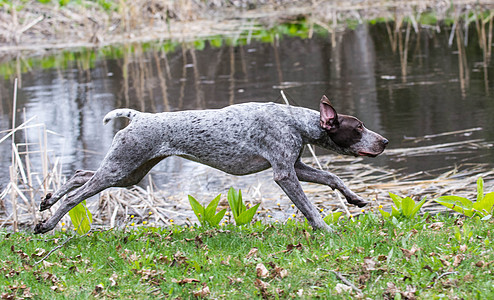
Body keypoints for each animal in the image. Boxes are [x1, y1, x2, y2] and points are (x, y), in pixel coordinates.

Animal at [35, 95, 390, 233]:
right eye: (359, 127)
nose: (384, 141)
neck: (294, 121)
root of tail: (139, 116)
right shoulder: (285, 174)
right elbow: (309, 209)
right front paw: (325, 229)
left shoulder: (297, 167)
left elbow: (332, 178)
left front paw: (355, 199)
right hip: (120, 168)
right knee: (76, 195)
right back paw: (46, 223)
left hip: (128, 173)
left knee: (79, 174)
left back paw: (46, 201)